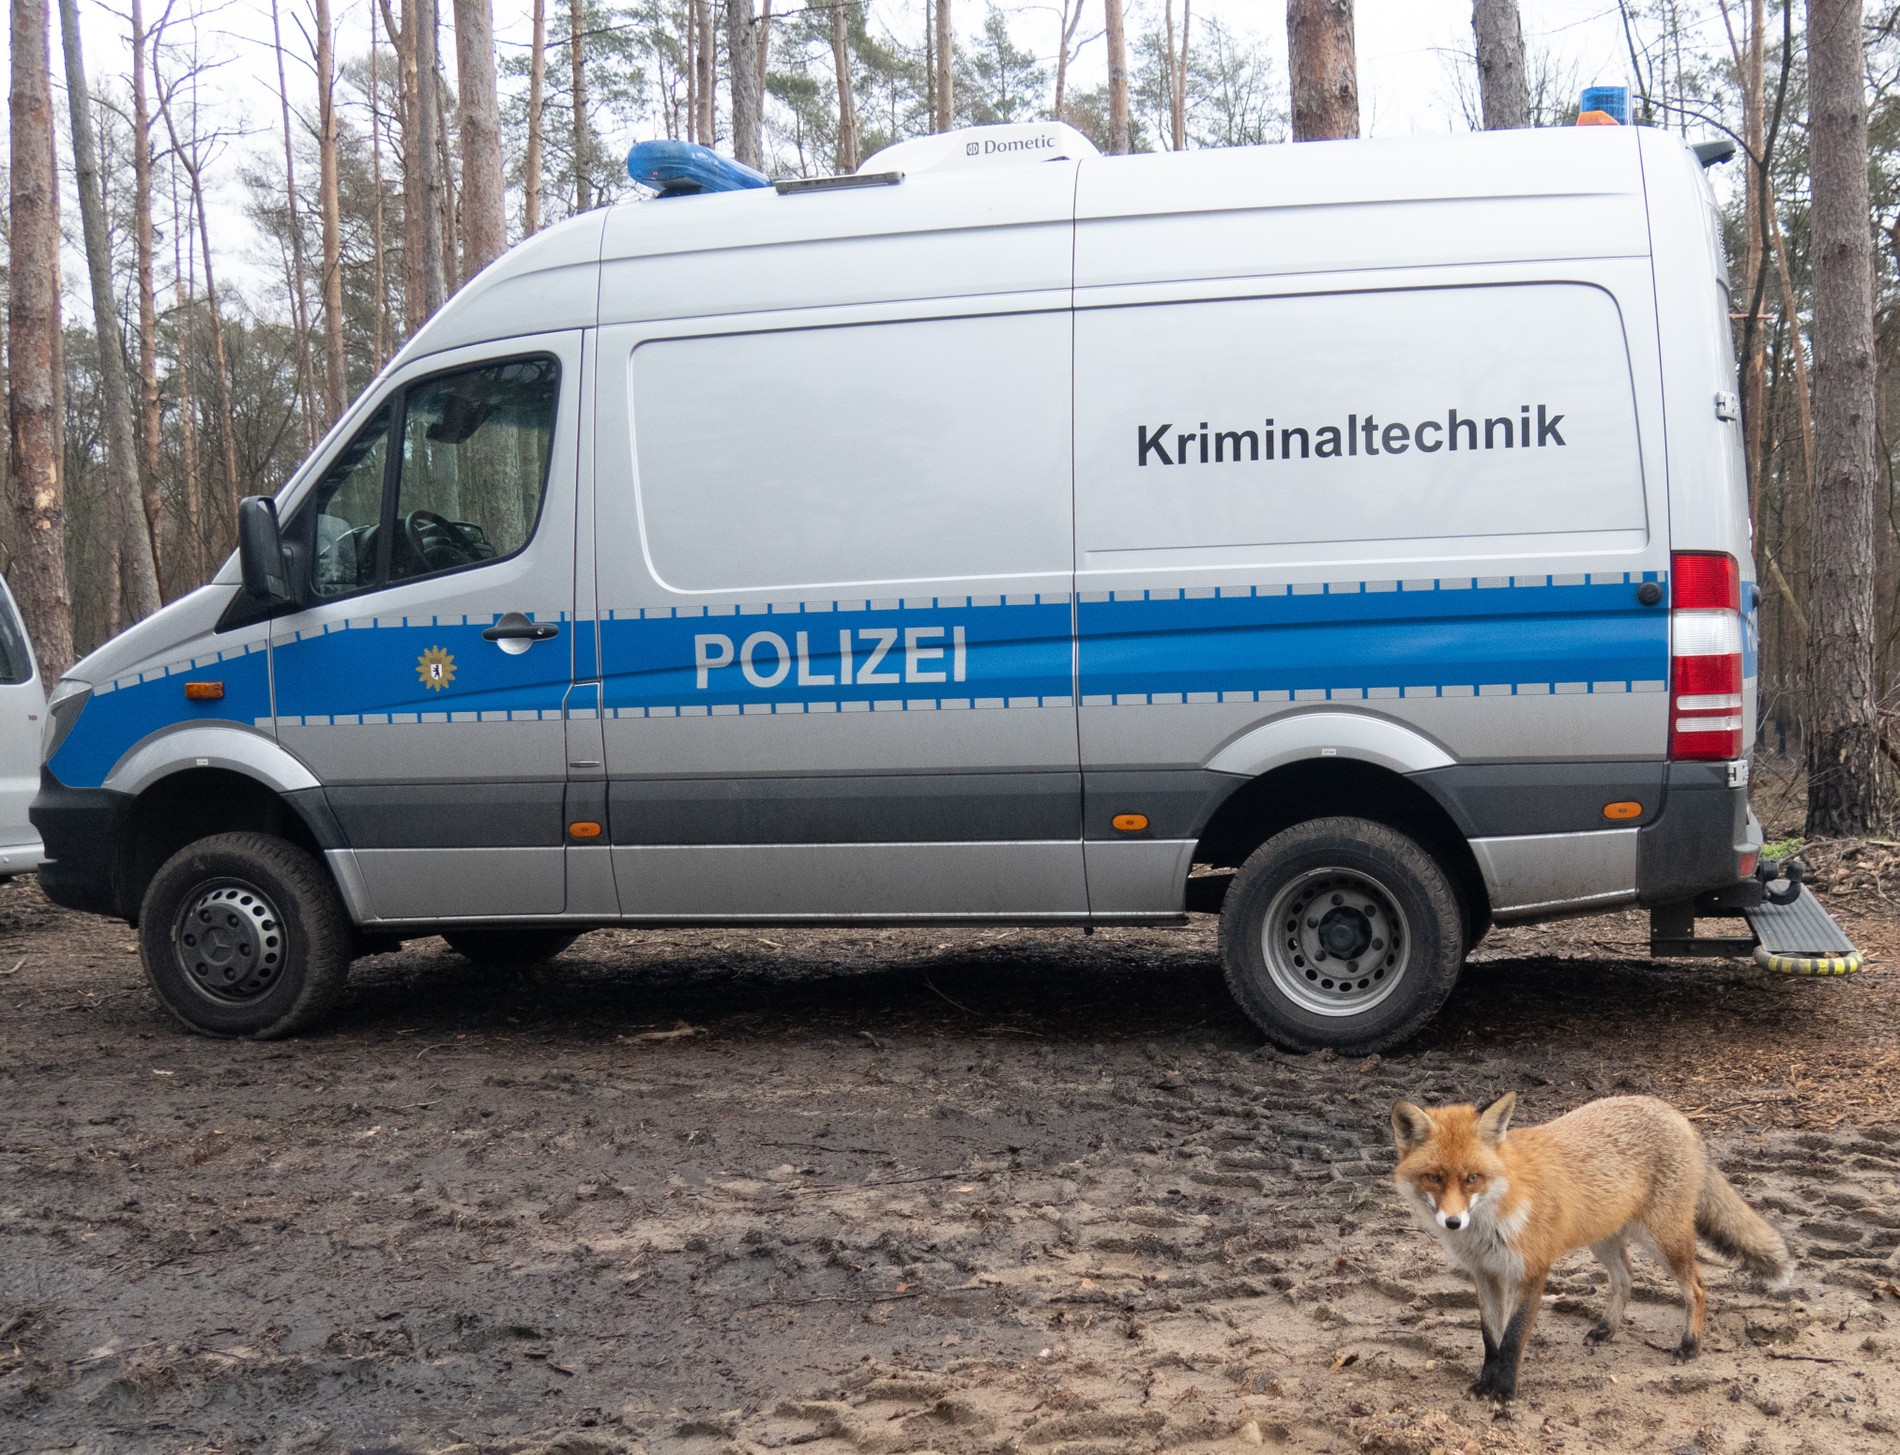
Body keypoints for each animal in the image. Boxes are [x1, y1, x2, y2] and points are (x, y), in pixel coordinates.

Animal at [1391, 1092, 1792, 1401]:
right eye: (1434, 1177)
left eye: (1473, 1178)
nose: (1453, 1222)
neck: (1495, 1213)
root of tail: (1674, 1112)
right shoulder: (1485, 1273)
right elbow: (1491, 1338)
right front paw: (1485, 1385)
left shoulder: (1531, 1272)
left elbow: (1512, 1339)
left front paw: (1504, 1392)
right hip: (1604, 1240)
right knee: (1626, 1278)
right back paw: (1607, 1329)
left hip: (1664, 1240)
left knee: (1696, 1287)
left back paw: (1690, 1345)